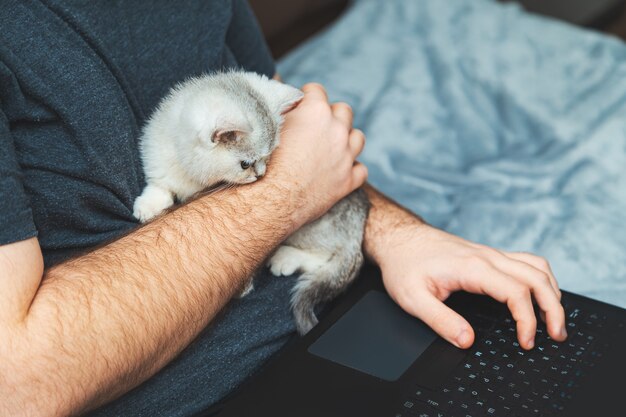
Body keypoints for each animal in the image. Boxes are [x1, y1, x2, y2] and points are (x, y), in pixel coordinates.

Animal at [133, 70, 366, 332]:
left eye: (268, 156)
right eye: (246, 164)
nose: (261, 174)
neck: (192, 176)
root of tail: (358, 228)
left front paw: (242, 285)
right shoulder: (160, 157)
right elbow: (160, 183)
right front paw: (149, 204)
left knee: (327, 255)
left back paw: (287, 258)